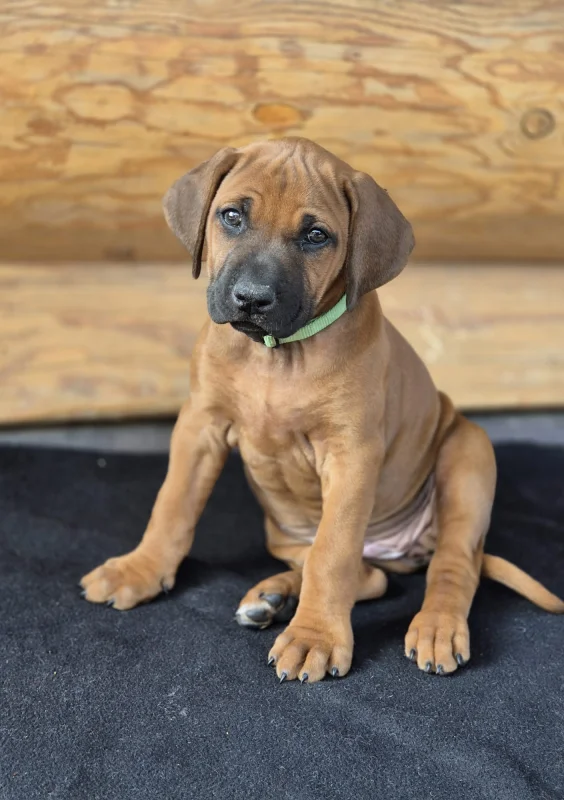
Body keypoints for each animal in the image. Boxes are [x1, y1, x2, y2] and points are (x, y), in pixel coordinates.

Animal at [81, 137, 563, 682]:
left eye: (316, 236)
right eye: (232, 216)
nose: (252, 299)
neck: (277, 355)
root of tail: (404, 549)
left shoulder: (351, 454)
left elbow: (332, 556)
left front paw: (316, 638)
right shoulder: (199, 425)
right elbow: (172, 505)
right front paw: (140, 569)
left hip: (467, 454)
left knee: (450, 565)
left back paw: (435, 625)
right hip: (283, 532)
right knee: (364, 575)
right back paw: (273, 597)